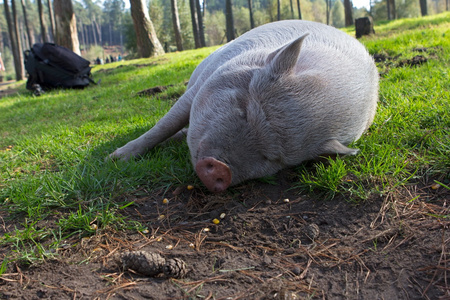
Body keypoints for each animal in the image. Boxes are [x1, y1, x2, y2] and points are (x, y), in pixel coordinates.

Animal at [110, 19, 380, 192]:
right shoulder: (204, 81)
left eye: (273, 157)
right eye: (244, 110)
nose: (220, 169)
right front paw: (115, 158)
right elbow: (164, 124)